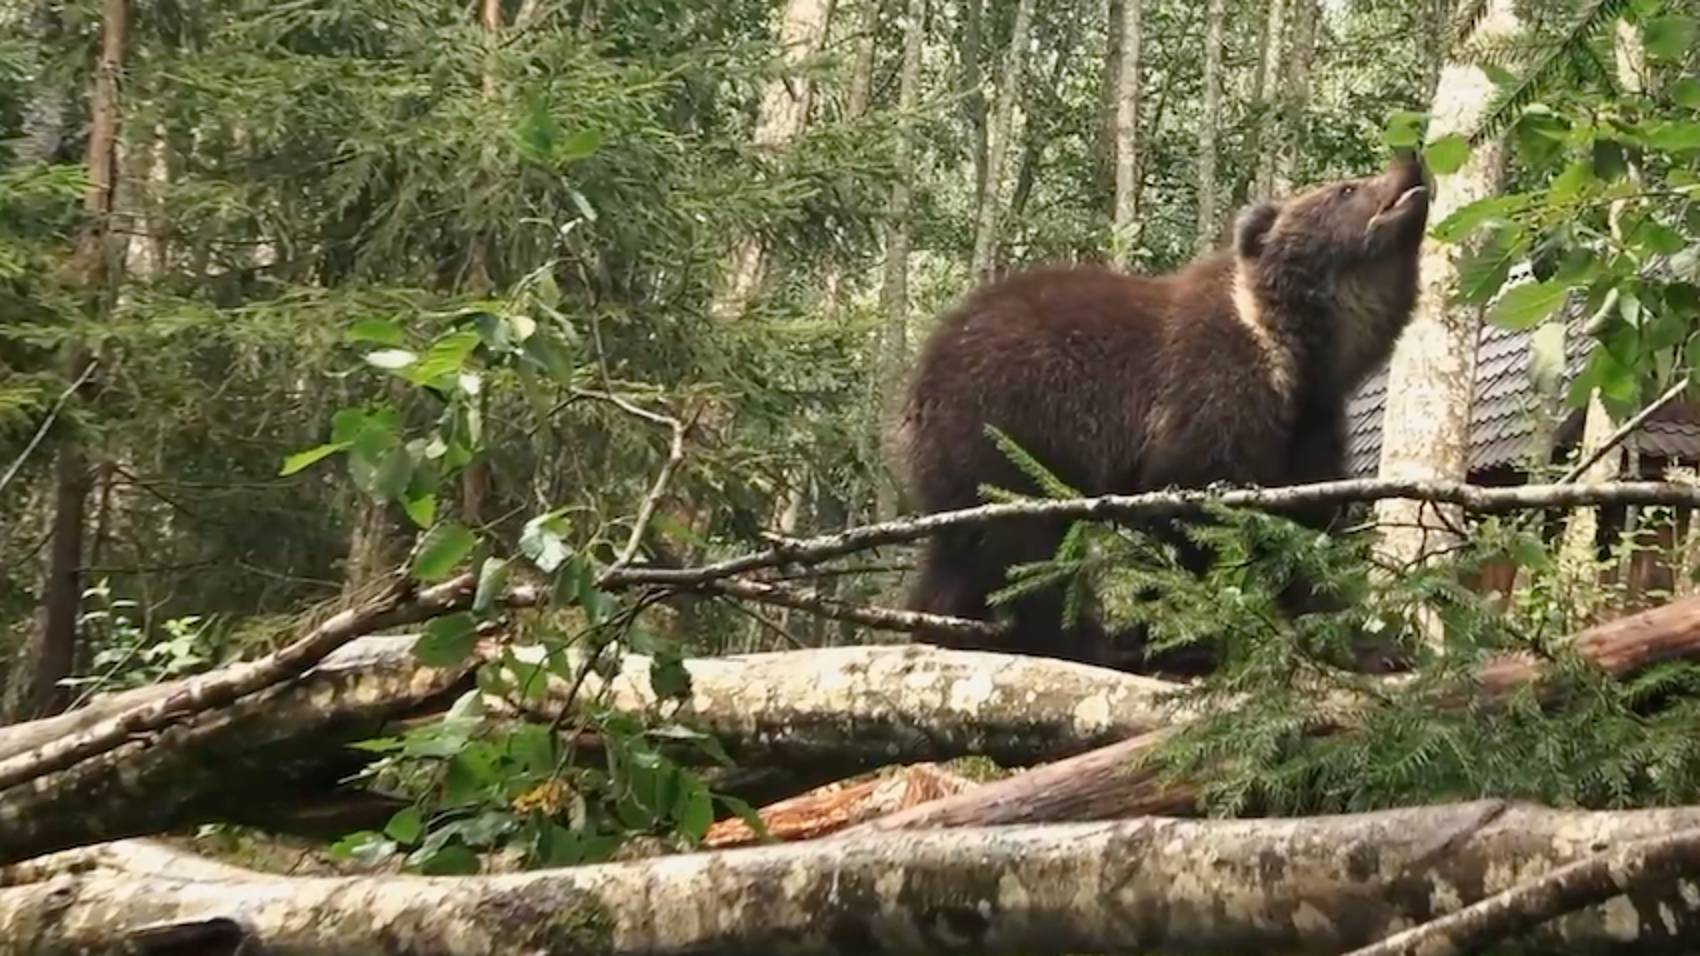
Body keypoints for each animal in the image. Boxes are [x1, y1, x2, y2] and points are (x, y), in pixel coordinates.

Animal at [897, 150, 1428, 670]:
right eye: (1347, 188)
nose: (1411, 160)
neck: (1292, 351)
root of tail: (922, 374)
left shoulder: (1307, 425)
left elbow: (1307, 532)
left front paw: (1370, 644)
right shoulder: (1210, 385)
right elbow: (1183, 504)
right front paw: (1183, 639)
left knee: (960, 557)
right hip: (1009, 428)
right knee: (1027, 548)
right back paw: (1079, 640)